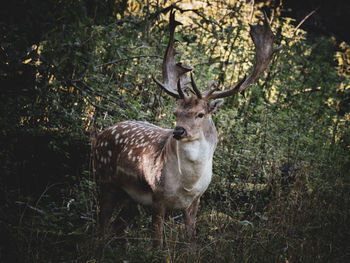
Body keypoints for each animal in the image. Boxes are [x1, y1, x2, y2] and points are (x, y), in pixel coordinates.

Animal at [92, 9, 278, 250]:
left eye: (200, 114)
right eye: (176, 112)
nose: (178, 131)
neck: (187, 185)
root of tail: (100, 135)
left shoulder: (196, 201)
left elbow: (191, 241)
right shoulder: (157, 196)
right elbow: (157, 242)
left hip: (127, 195)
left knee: (116, 225)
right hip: (103, 177)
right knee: (102, 223)